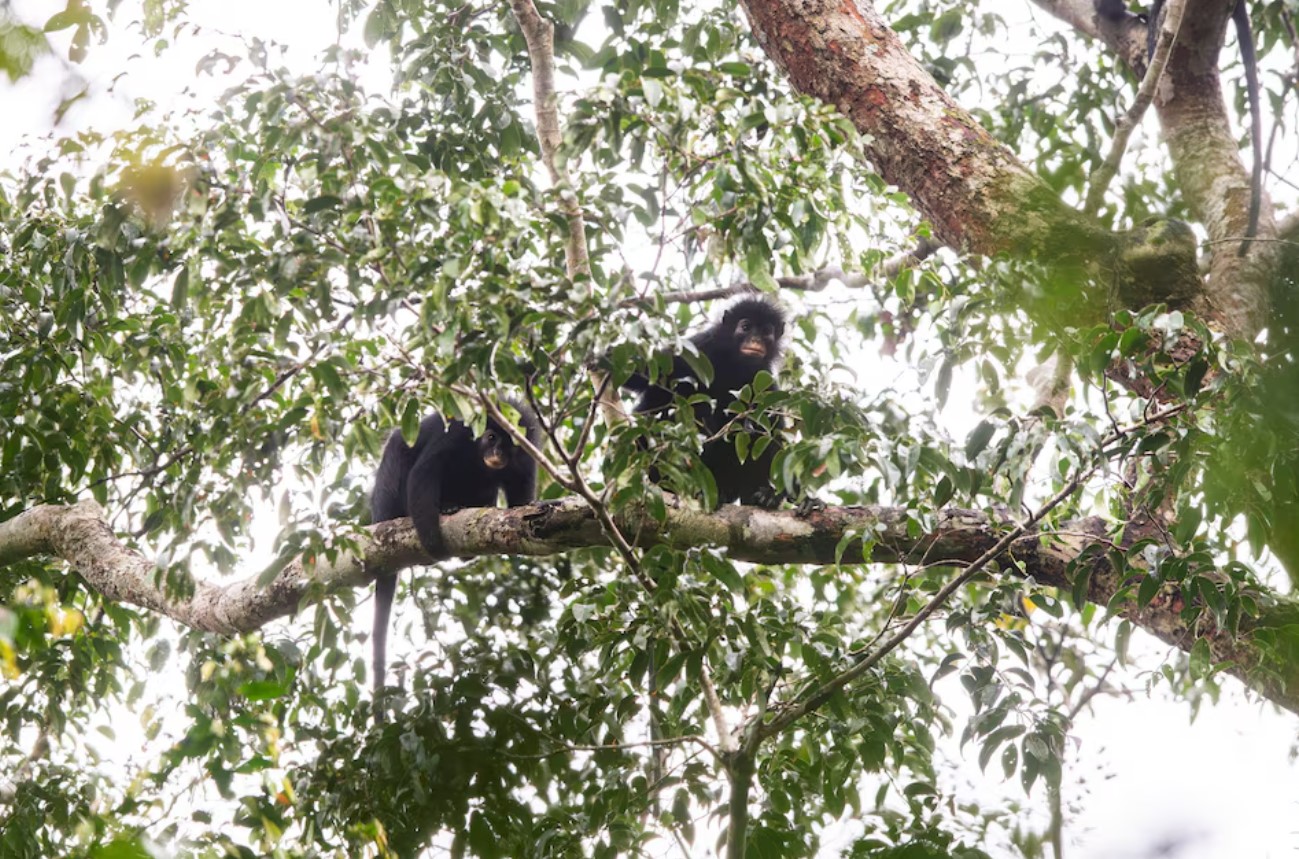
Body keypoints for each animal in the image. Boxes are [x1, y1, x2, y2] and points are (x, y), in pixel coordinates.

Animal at [368, 401, 540, 703]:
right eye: (492, 438)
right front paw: (432, 540)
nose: (498, 454)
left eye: (510, 443)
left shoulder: (526, 455)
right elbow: (424, 472)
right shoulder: (456, 435)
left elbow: (520, 504)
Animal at [621, 296, 788, 507]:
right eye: (746, 327)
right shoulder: (701, 346)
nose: (756, 340)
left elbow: (772, 430)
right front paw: (601, 359)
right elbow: (647, 372)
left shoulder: (763, 378)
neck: (734, 364)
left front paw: (779, 494)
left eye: (766, 332)